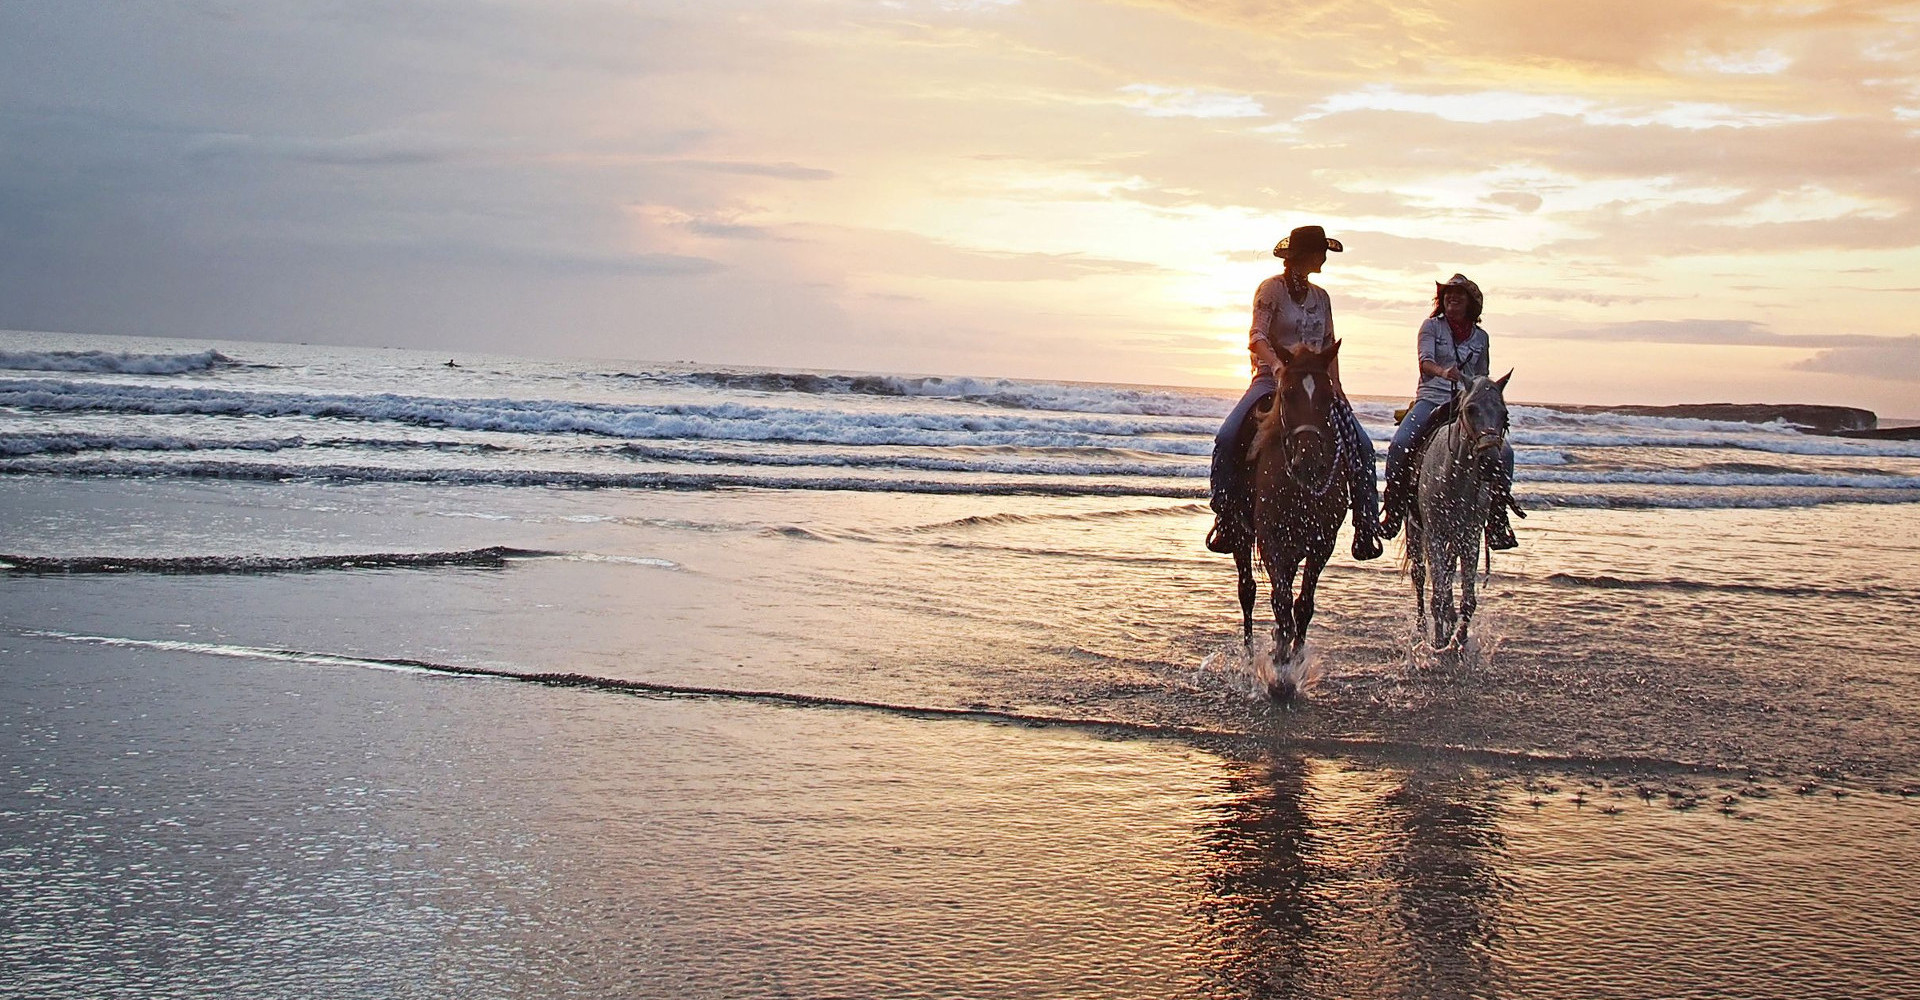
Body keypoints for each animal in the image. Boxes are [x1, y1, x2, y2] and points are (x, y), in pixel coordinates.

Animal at [1228, 339, 1351, 698]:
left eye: (1328, 395)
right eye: (1289, 392)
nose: (1308, 460)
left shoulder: (1322, 544)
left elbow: (1303, 605)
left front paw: (1293, 660)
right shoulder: (1271, 541)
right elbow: (1281, 602)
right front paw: (1280, 672)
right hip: (1240, 535)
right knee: (1247, 591)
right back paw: (1250, 656)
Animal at [1405, 370, 1505, 652]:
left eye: (1504, 414)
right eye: (1470, 409)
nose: (1491, 463)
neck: (1454, 477)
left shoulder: (1470, 537)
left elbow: (1467, 599)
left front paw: (1459, 638)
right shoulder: (1435, 535)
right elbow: (1438, 594)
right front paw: (1439, 642)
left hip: (1454, 539)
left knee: (1447, 575)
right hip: (1415, 530)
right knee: (1420, 576)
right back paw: (1423, 629)